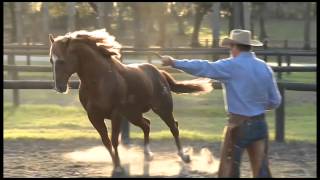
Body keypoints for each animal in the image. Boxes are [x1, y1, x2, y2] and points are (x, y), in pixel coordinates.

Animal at [48, 29, 212, 174]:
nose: (60, 87)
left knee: (174, 127)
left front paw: (119, 167)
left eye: (61, 60)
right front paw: (116, 165)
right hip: (133, 114)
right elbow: (106, 141)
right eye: (51, 60)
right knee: (147, 125)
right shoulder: (94, 116)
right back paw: (148, 154)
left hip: (162, 109)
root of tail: (159, 73)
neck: (100, 80)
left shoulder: (116, 114)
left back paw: (184, 156)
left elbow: (114, 140)